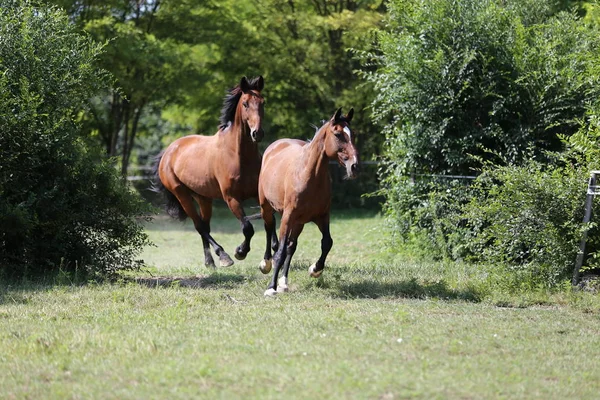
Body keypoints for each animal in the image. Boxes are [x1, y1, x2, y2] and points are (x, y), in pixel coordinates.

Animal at [155, 75, 264, 268]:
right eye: (245, 104)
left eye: (263, 103)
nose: (257, 133)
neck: (238, 154)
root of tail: (168, 151)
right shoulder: (232, 199)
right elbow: (247, 228)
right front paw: (240, 252)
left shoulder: (258, 194)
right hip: (182, 195)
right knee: (199, 226)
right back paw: (223, 256)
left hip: (203, 197)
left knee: (205, 226)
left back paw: (209, 262)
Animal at [256, 108, 356, 296]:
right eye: (338, 134)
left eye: (352, 134)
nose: (354, 166)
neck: (308, 176)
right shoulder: (287, 217)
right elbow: (280, 251)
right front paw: (271, 288)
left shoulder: (322, 216)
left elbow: (327, 242)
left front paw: (315, 270)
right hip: (266, 207)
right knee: (269, 229)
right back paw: (266, 264)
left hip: (299, 222)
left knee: (291, 246)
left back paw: (284, 282)